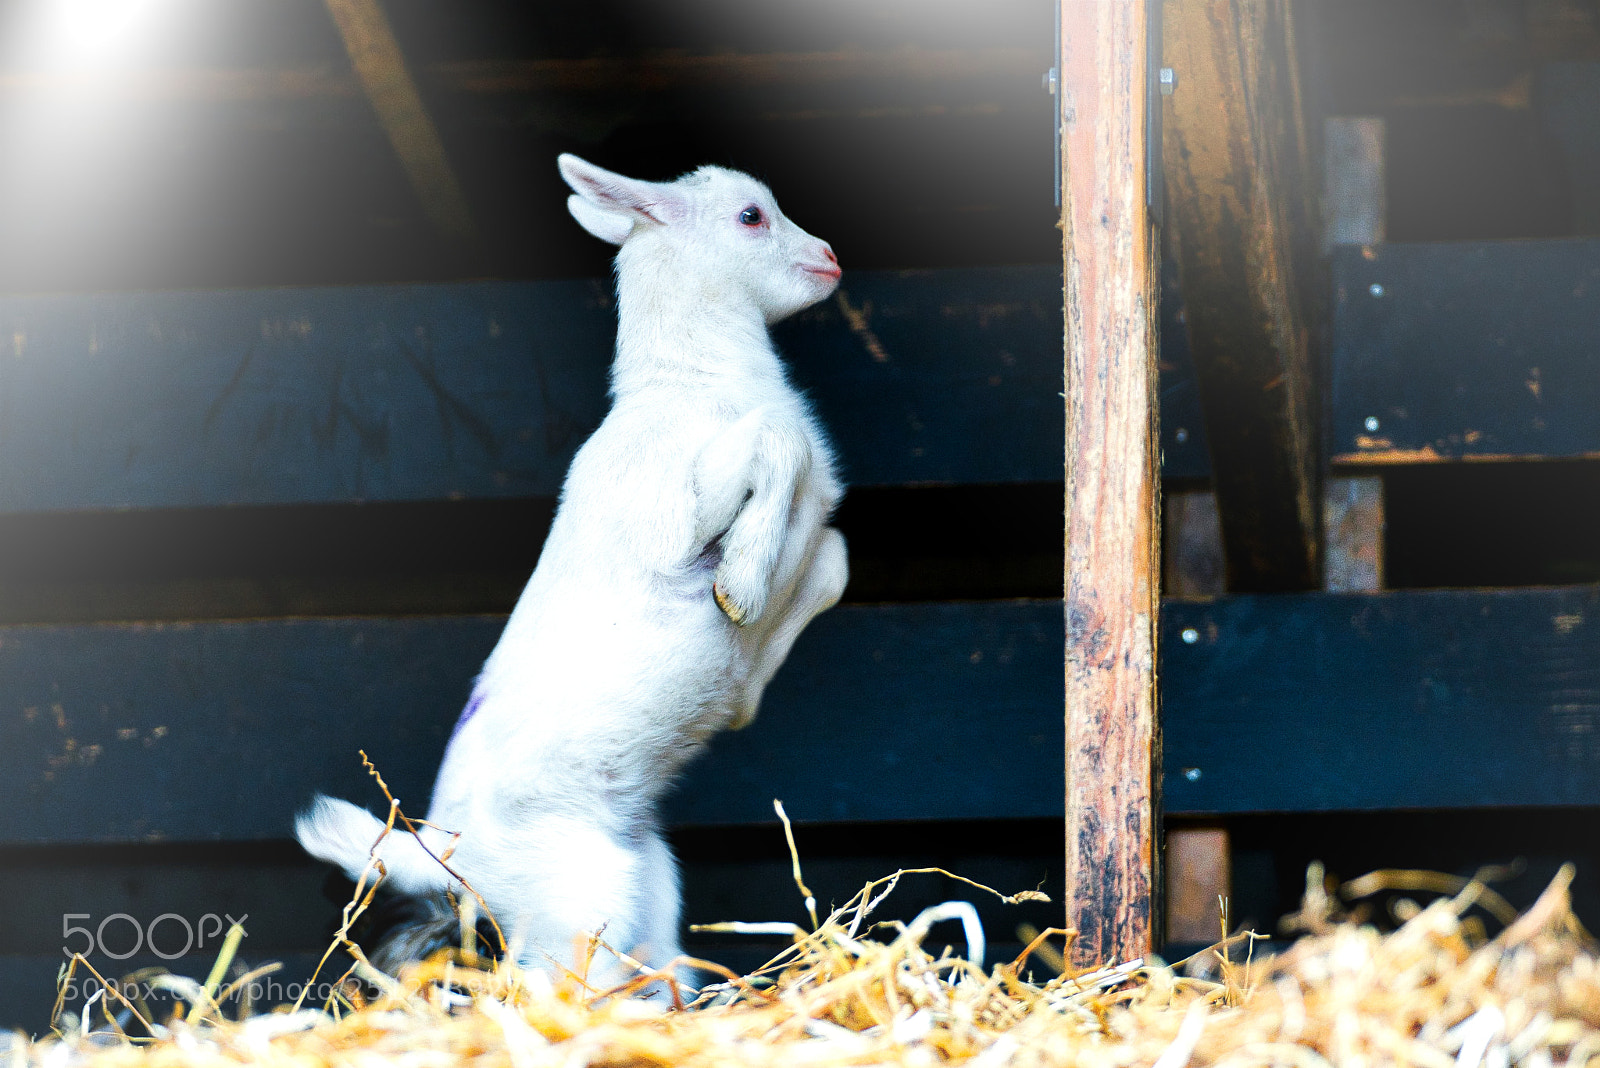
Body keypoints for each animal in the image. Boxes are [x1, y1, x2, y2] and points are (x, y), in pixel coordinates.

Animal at [297, 154, 849, 985]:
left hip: (645, 887)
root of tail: (441, 858)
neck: (694, 386)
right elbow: (776, 440)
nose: (831, 258)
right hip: (576, 904)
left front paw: (746, 677)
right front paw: (741, 588)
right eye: (752, 216)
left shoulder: (816, 536)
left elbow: (836, 562)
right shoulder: (676, 515)